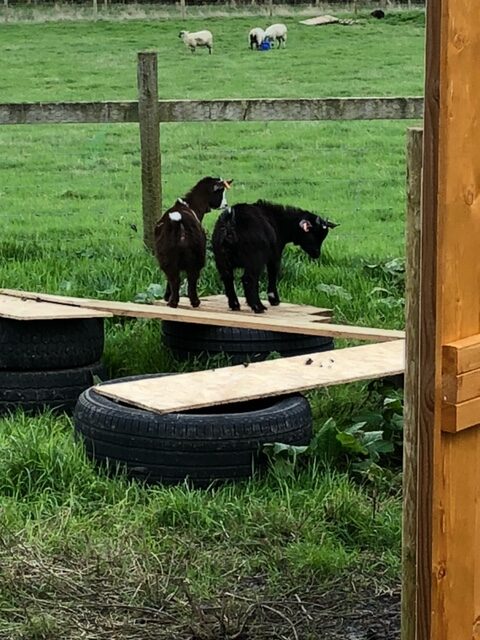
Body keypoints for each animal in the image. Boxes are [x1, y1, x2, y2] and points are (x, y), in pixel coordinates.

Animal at [155, 177, 233, 308]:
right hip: (196, 252)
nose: (226, 205)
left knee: (176, 278)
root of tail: (179, 222)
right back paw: (192, 302)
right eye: (220, 192)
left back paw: (173, 302)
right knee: (191, 277)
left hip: (169, 255)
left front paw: (166, 297)